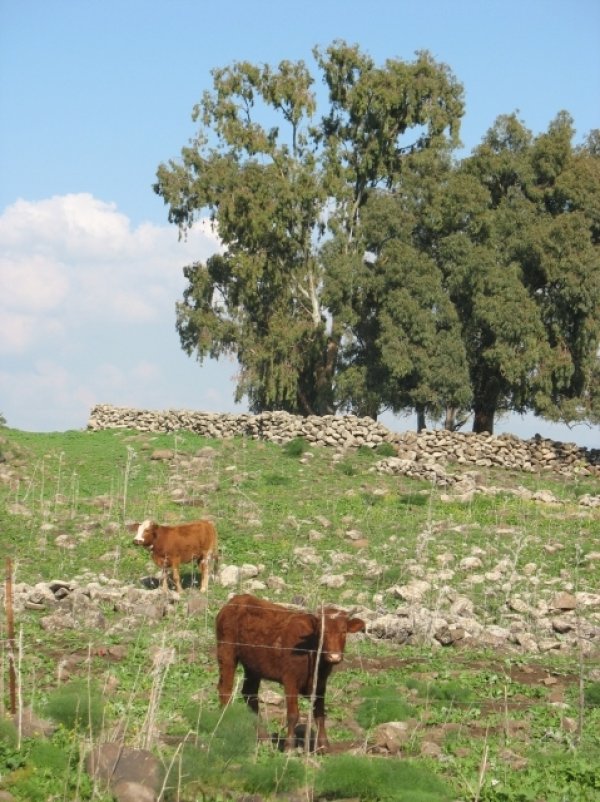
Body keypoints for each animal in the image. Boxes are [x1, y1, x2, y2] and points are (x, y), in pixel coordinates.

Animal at [216, 588, 366, 752]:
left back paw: (263, 738)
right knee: (225, 690)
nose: (334, 656)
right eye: (321, 632)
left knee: (250, 694)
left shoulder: (320, 684)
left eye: (344, 631)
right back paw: (225, 725)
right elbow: (293, 714)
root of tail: (236, 601)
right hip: (226, 653)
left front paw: (324, 746)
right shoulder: (290, 680)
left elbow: (320, 715)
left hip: (253, 666)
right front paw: (289, 747)